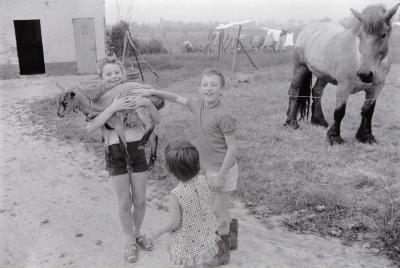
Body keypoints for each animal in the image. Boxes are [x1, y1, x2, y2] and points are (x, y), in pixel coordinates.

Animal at [286, 3, 398, 144]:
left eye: (383, 34)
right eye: (359, 35)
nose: (365, 74)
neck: (358, 58)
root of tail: (308, 29)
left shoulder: (376, 88)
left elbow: (368, 111)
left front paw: (366, 136)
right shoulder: (343, 87)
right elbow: (339, 112)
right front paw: (334, 137)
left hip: (323, 75)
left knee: (317, 91)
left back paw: (319, 121)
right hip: (300, 68)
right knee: (294, 92)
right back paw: (292, 123)